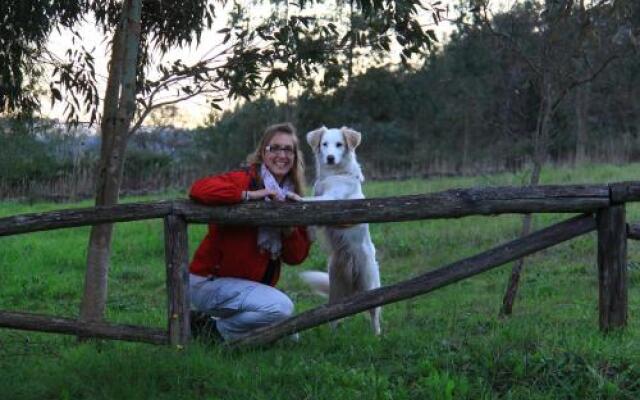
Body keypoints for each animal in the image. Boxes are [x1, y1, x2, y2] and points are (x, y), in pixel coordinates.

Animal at [298, 126, 380, 336]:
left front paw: (293, 197)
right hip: (335, 287)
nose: (330, 158)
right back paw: (332, 336)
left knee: (375, 311)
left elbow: (310, 202)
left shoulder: (332, 200)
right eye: (324, 144)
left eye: (339, 144)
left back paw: (377, 335)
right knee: (334, 314)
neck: (333, 174)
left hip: (369, 282)